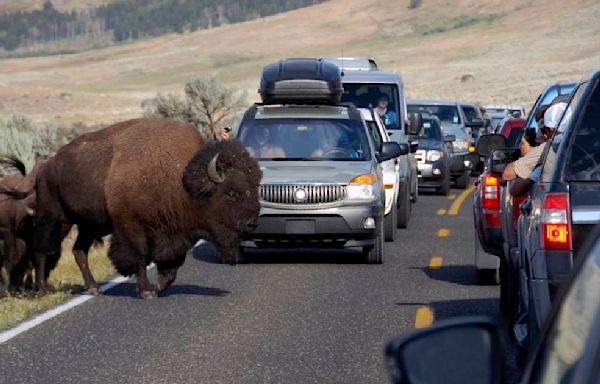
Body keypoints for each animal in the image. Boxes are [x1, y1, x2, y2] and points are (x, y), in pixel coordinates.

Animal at [8, 118, 258, 298]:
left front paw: (157, 288)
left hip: (89, 226)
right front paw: (146, 291)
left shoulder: (174, 233)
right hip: (53, 219)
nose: (251, 223)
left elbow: (171, 268)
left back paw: (93, 288)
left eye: (254, 187)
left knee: (79, 251)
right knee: (41, 251)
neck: (181, 180)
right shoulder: (132, 228)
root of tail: (45, 166)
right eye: (231, 193)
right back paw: (42, 291)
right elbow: (140, 257)